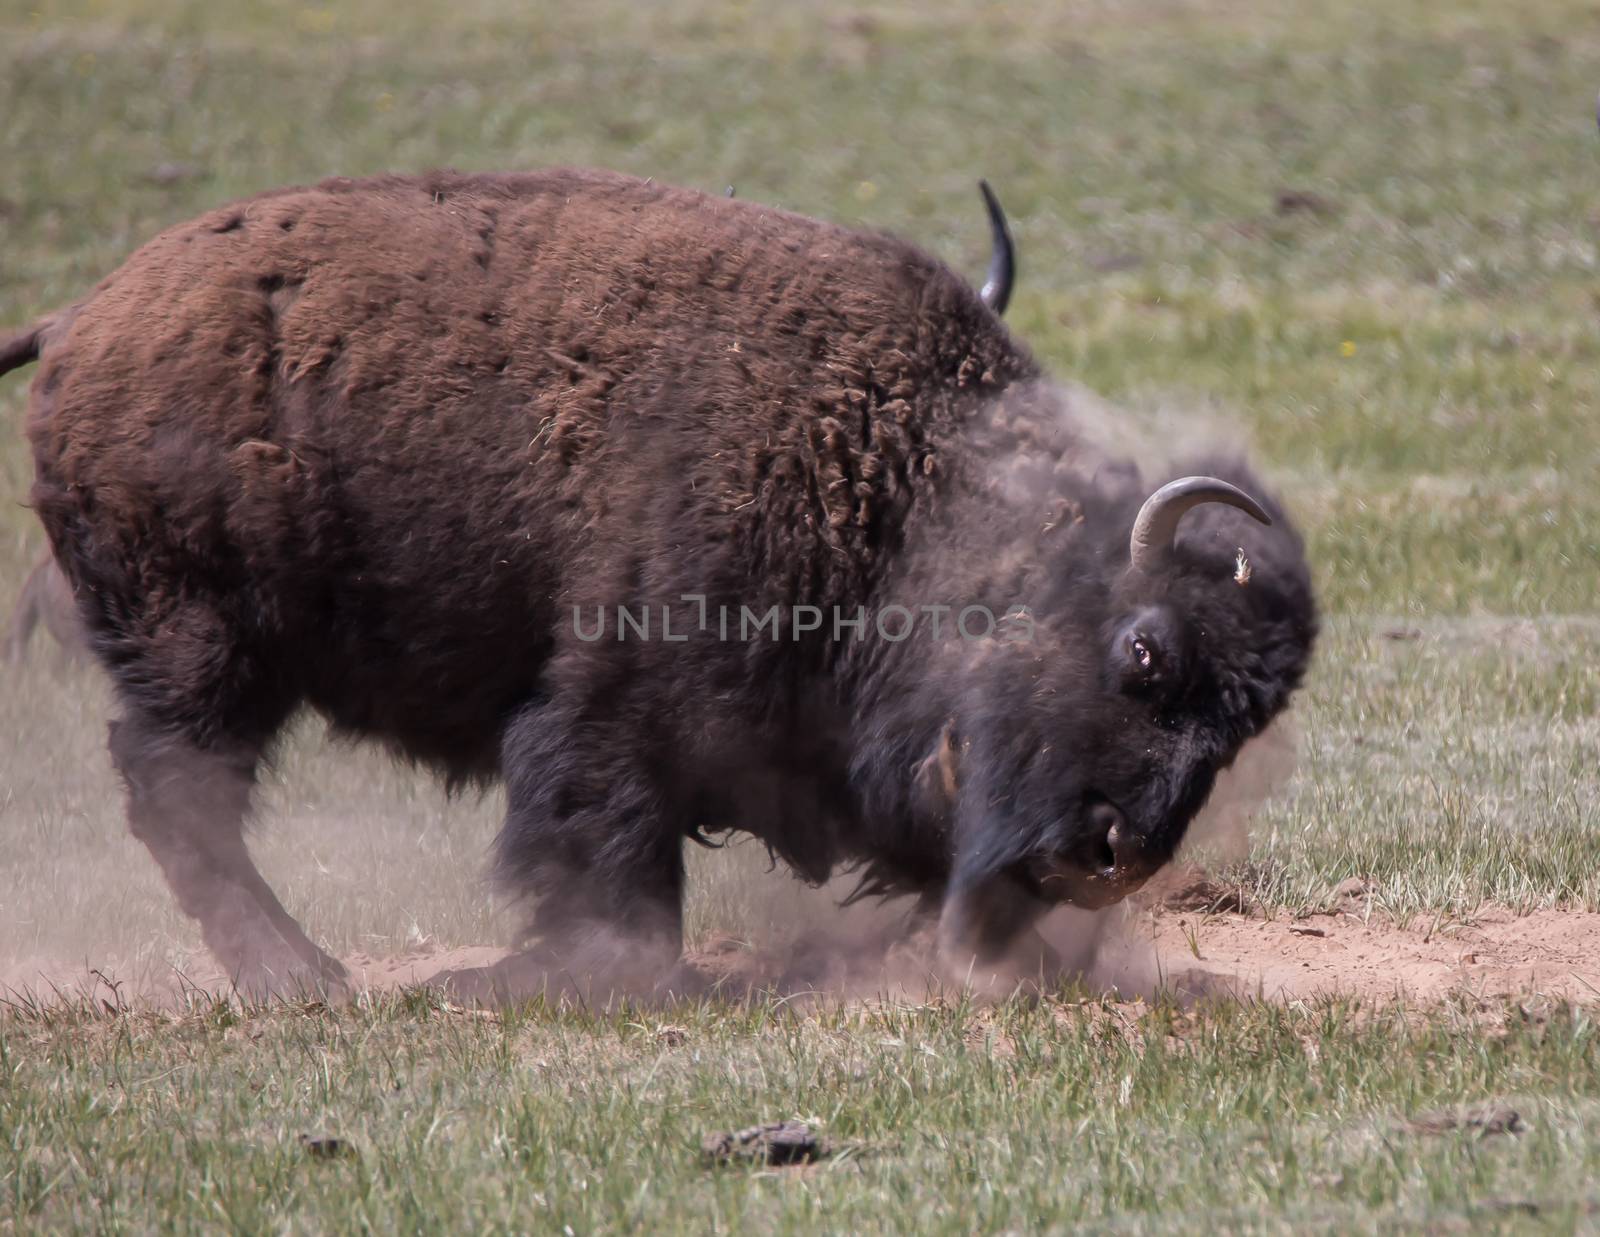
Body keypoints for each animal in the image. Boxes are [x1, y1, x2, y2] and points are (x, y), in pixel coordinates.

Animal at [0, 166, 1312, 992]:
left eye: (1243, 730)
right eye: (1142, 650)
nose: (1113, 855)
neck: (898, 483)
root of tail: (78, 319)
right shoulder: (612, 713)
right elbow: (613, 868)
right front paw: (525, 975)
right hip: (207, 647)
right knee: (181, 789)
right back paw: (302, 978)